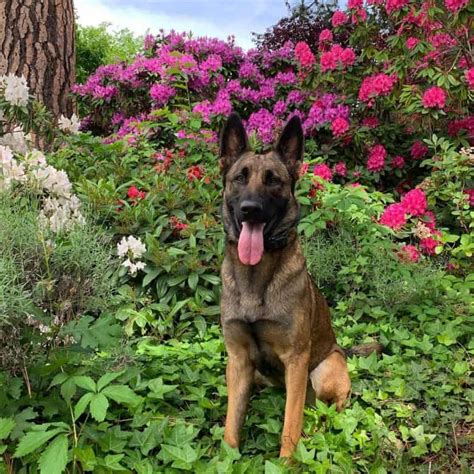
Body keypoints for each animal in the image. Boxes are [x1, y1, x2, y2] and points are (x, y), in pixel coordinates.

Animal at [218, 113, 352, 458]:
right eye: (240, 177)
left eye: (273, 180)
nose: (249, 209)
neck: (256, 278)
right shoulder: (238, 359)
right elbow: (230, 425)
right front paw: (226, 458)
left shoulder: (296, 360)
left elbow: (290, 425)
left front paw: (288, 462)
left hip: (325, 370)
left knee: (326, 410)